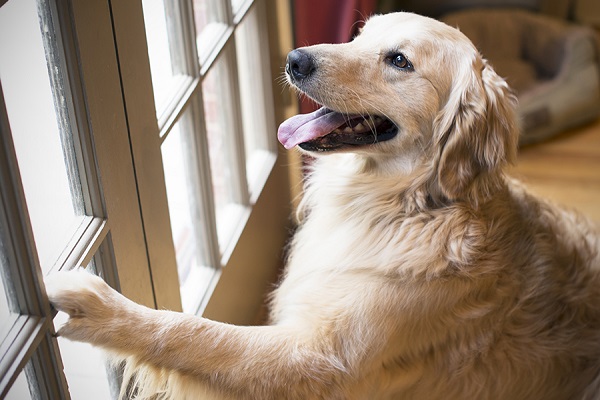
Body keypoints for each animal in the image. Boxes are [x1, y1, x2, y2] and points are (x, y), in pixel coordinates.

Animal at [47, 10, 600, 398]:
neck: (406, 207)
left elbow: (196, 332)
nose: (295, 59)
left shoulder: (316, 362)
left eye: (399, 60)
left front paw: (99, 307)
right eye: (358, 36)